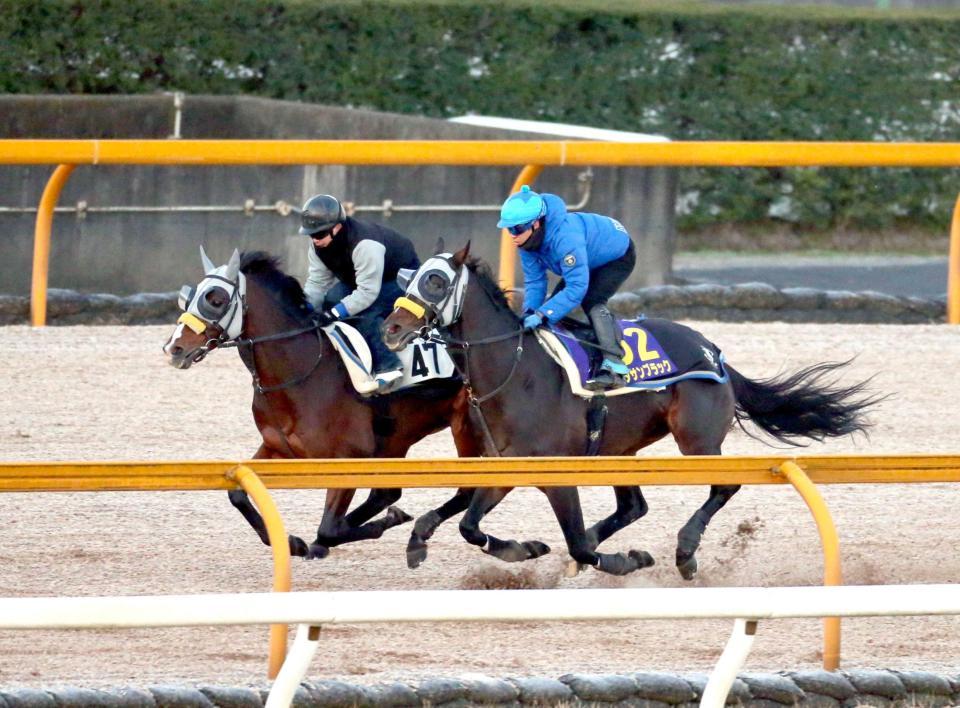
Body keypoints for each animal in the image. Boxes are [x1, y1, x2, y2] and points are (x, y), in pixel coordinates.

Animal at [161, 250, 484, 564]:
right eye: (191, 297)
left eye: (216, 300)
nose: (174, 348)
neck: (301, 372)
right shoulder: (277, 448)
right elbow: (238, 495)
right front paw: (293, 543)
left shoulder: (348, 457)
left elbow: (329, 528)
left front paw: (376, 524)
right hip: (398, 438)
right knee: (387, 493)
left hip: (464, 425)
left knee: (463, 488)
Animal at [380, 246, 876, 580]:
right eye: (409, 279)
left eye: (436, 281)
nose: (391, 328)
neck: (516, 371)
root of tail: (712, 350)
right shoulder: (503, 466)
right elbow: (466, 523)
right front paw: (516, 548)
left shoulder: (556, 475)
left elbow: (574, 542)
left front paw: (620, 560)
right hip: (622, 449)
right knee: (634, 505)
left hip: (696, 439)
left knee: (724, 484)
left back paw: (685, 551)